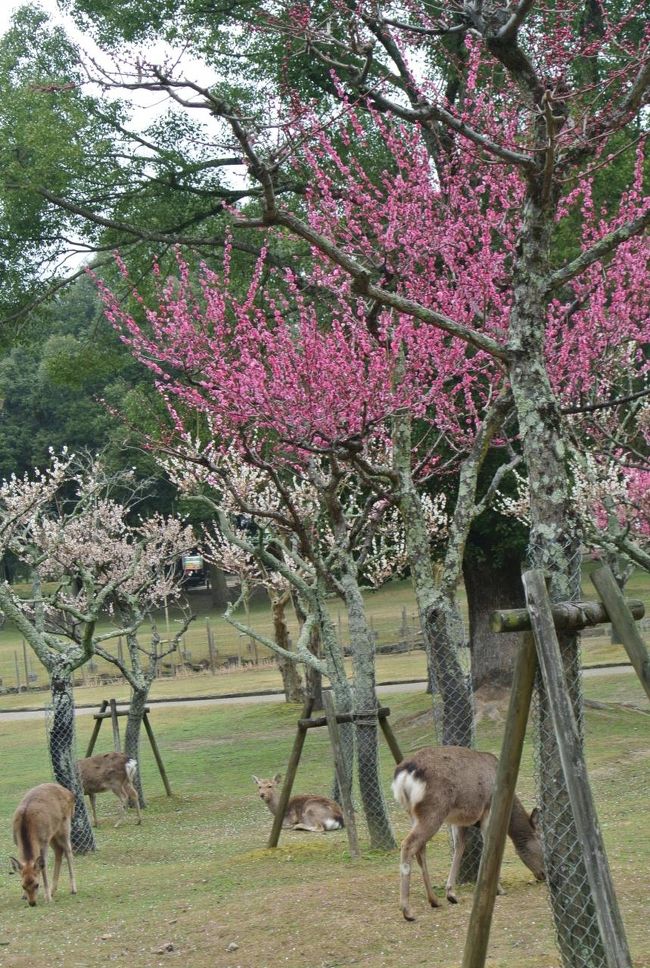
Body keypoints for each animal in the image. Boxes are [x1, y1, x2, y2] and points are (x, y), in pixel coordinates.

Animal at [392, 746, 545, 921]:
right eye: (542, 842)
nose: (544, 875)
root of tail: (404, 774)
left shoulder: (458, 820)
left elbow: (460, 847)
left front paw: (451, 893)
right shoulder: (488, 810)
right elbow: (490, 845)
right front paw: (499, 889)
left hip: (413, 813)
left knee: (420, 849)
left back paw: (434, 900)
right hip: (434, 810)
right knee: (408, 844)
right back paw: (407, 910)